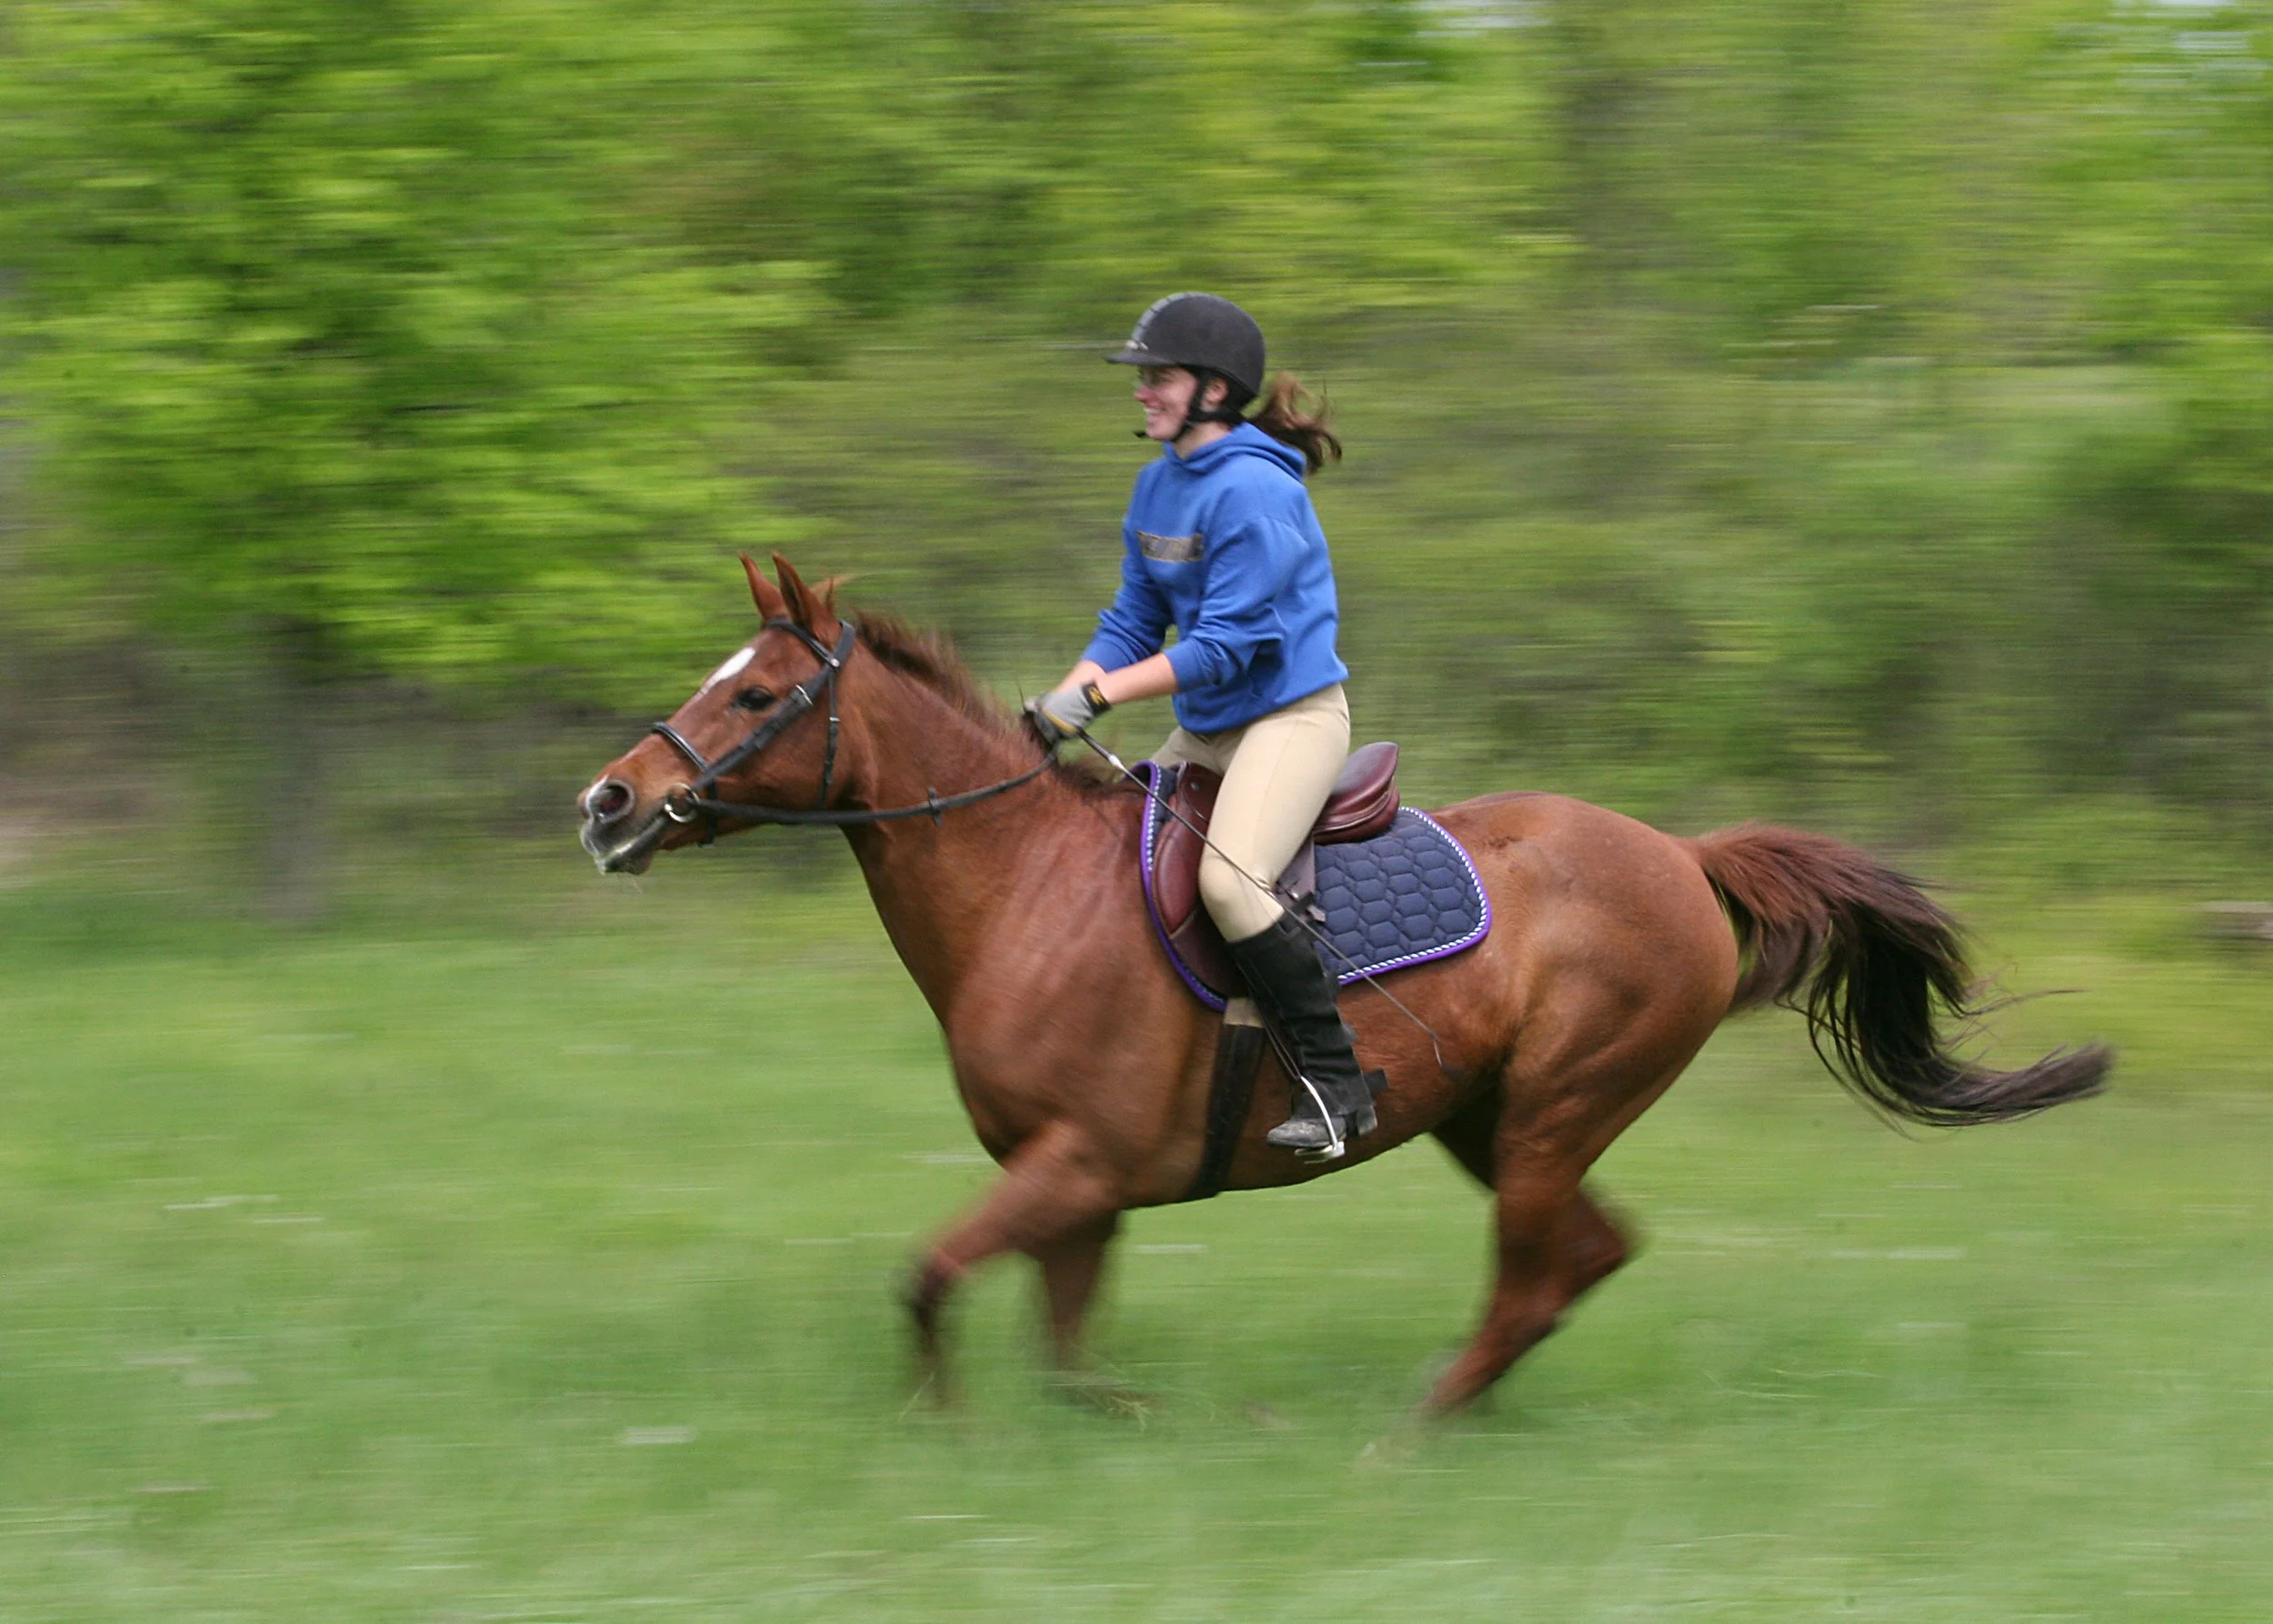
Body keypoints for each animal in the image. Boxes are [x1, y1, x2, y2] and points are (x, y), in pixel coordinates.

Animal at [577, 555, 2110, 1415]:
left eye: (756, 695)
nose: (609, 803)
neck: (1022, 887)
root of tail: (1680, 854)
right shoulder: (1073, 1187)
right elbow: (1062, 1348)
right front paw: (1099, 1424)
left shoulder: (1076, 1163)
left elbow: (928, 1279)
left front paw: (940, 1428)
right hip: (1494, 1120)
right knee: (1586, 1254)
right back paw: (1453, 1411)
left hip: (1554, 1111)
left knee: (1534, 1275)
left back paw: (1415, 1430)